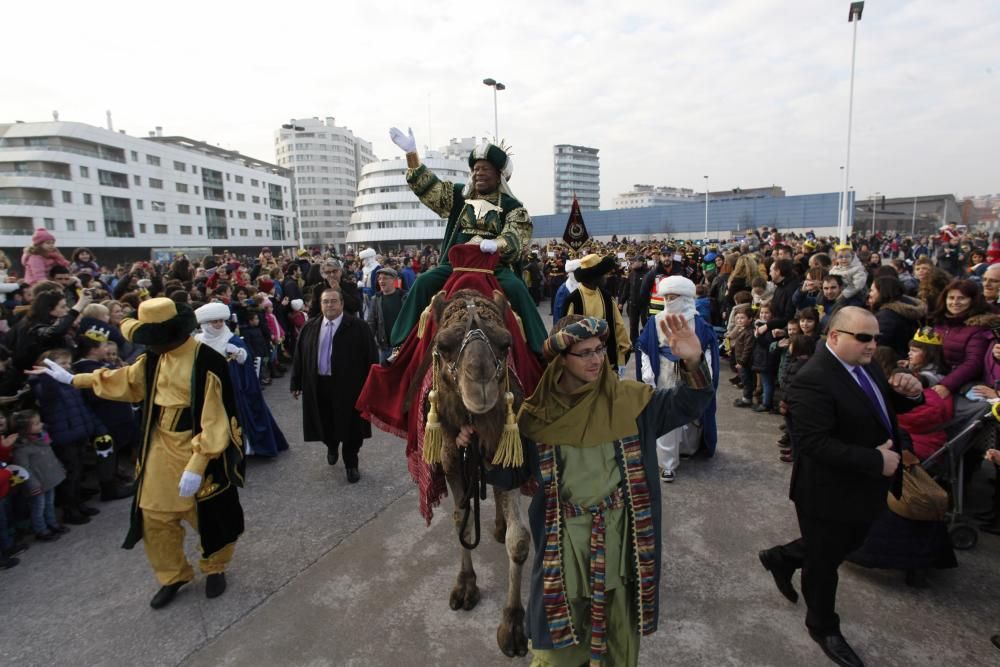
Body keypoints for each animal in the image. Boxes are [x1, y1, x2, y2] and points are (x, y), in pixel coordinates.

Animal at [428, 290, 536, 660]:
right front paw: (465, 587)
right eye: (443, 345)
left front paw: (513, 625)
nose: (481, 383)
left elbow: (519, 541)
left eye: (506, 344)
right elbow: (460, 520)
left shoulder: (512, 456)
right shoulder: (450, 458)